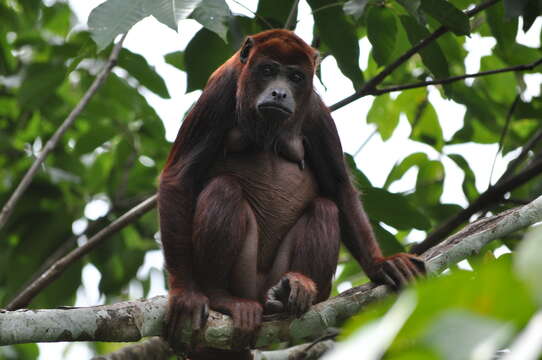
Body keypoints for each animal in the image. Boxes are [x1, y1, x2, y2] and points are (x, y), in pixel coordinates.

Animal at [159, 29, 428, 358]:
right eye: (268, 70)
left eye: (296, 77)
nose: (279, 93)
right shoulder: (218, 94)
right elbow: (179, 178)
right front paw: (185, 293)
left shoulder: (315, 111)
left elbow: (338, 186)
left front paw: (380, 264)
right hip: (245, 280)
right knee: (224, 189)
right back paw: (221, 296)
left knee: (325, 207)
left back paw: (296, 291)